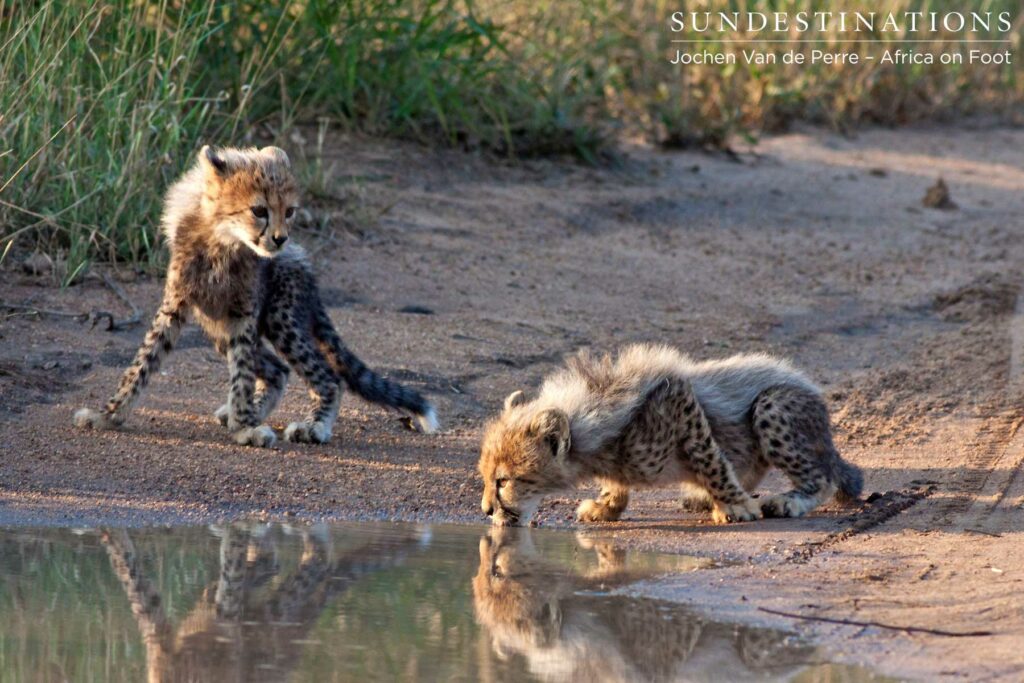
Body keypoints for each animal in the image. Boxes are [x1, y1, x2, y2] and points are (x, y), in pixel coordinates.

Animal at [73, 145, 438, 447]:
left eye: (289, 211)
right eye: (259, 210)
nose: (280, 239)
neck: (223, 242)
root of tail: (304, 264)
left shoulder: (243, 314)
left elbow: (243, 373)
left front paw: (245, 427)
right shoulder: (176, 307)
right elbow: (142, 363)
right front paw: (109, 415)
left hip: (279, 318)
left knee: (327, 375)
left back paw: (313, 427)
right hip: (218, 328)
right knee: (278, 369)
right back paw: (248, 413)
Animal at [478, 343, 863, 527]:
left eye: (503, 481)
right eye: (485, 478)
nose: (485, 510)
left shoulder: (679, 398)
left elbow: (710, 459)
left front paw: (736, 505)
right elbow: (617, 483)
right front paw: (607, 506)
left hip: (773, 405)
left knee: (824, 476)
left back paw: (787, 500)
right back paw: (704, 496)